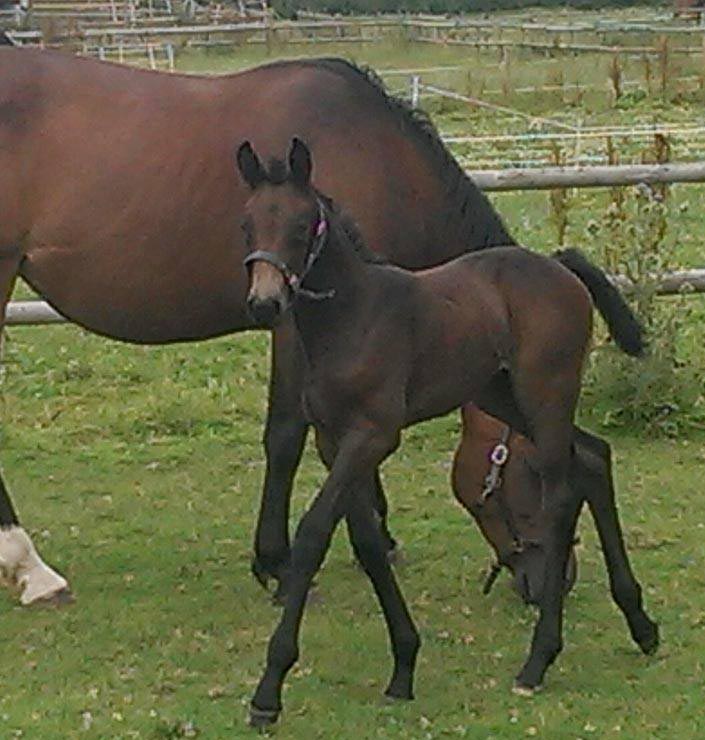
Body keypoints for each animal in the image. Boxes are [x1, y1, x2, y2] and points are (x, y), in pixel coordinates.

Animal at [238, 136, 660, 724]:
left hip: (545, 396)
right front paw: (404, 664)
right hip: (502, 396)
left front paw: (270, 688)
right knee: (594, 457)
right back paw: (640, 624)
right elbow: (367, 541)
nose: (265, 302)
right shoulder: (333, 441)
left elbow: (315, 534)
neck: (354, 318)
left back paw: (539, 659)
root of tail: (558, 266)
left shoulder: (372, 435)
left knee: (560, 497)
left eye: (303, 226)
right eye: (247, 224)